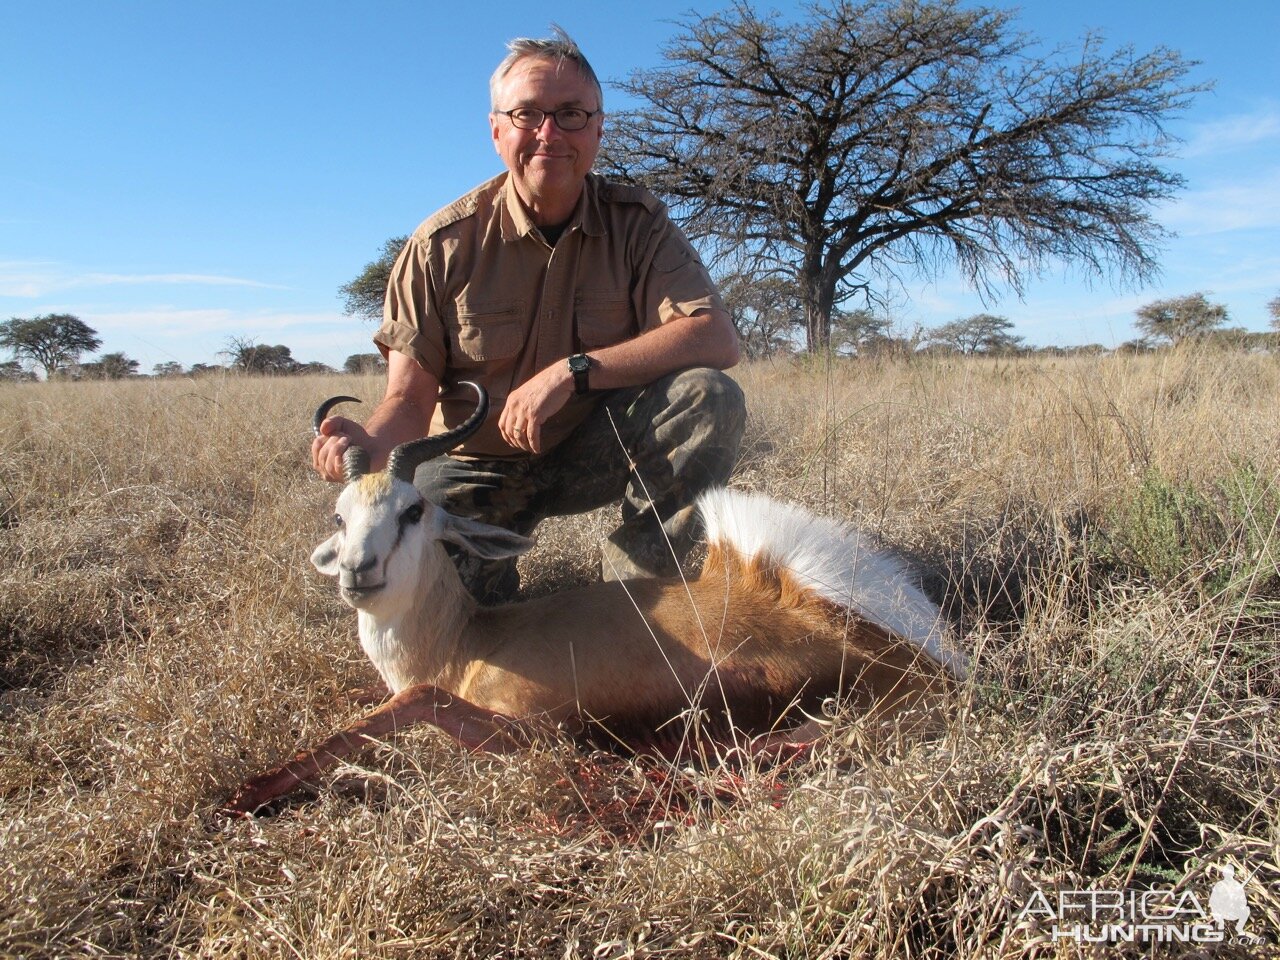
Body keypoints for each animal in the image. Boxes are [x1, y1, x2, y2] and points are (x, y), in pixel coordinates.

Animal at [225, 384, 962, 814]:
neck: (467, 642)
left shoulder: (528, 728)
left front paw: (248, 791)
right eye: (340, 516)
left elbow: (410, 700)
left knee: (759, 758)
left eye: (412, 510)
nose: (358, 572)